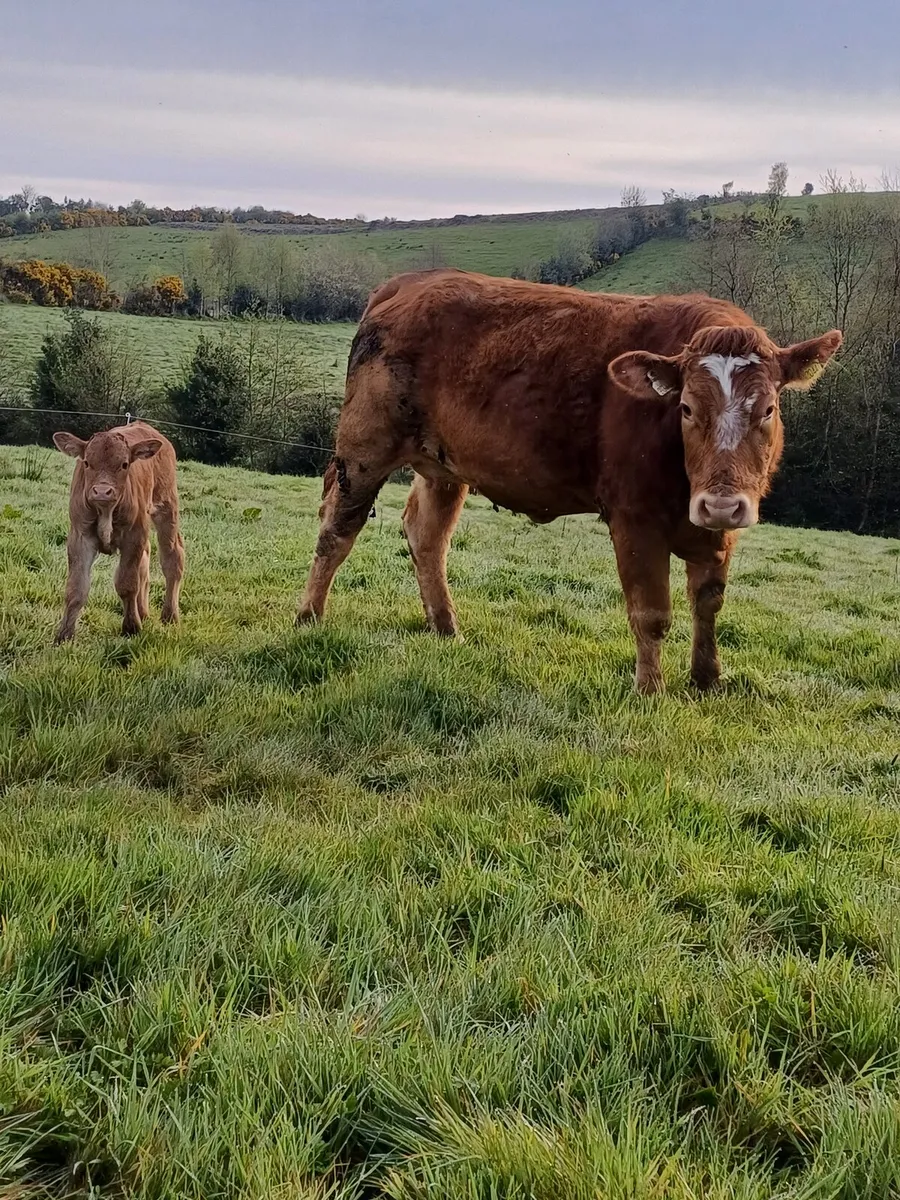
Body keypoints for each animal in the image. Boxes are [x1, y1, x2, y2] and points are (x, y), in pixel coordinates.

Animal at [52, 421, 185, 643]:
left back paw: (170, 615)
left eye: (124, 464)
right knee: (145, 561)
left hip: (167, 507)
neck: (106, 512)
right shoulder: (80, 537)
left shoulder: (133, 536)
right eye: (87, 462)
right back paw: (143, 612)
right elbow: (76, 588)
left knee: (172, 558)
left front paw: (131, 627)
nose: (102, 491)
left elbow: (126, 583)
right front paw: (64, 635)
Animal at [297, 269, 841, 693]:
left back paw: (446, 627)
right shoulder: (634, 519)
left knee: (426, 536)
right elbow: (651, 612)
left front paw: (706, 679)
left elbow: (709, 601)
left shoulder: (716, 529)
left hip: (444, 466)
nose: (723, 504)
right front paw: (650, 689)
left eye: (768, 409)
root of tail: (411, 280)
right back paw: (309, 618)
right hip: (363, 448)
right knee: (336, 529)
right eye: (686, 408)